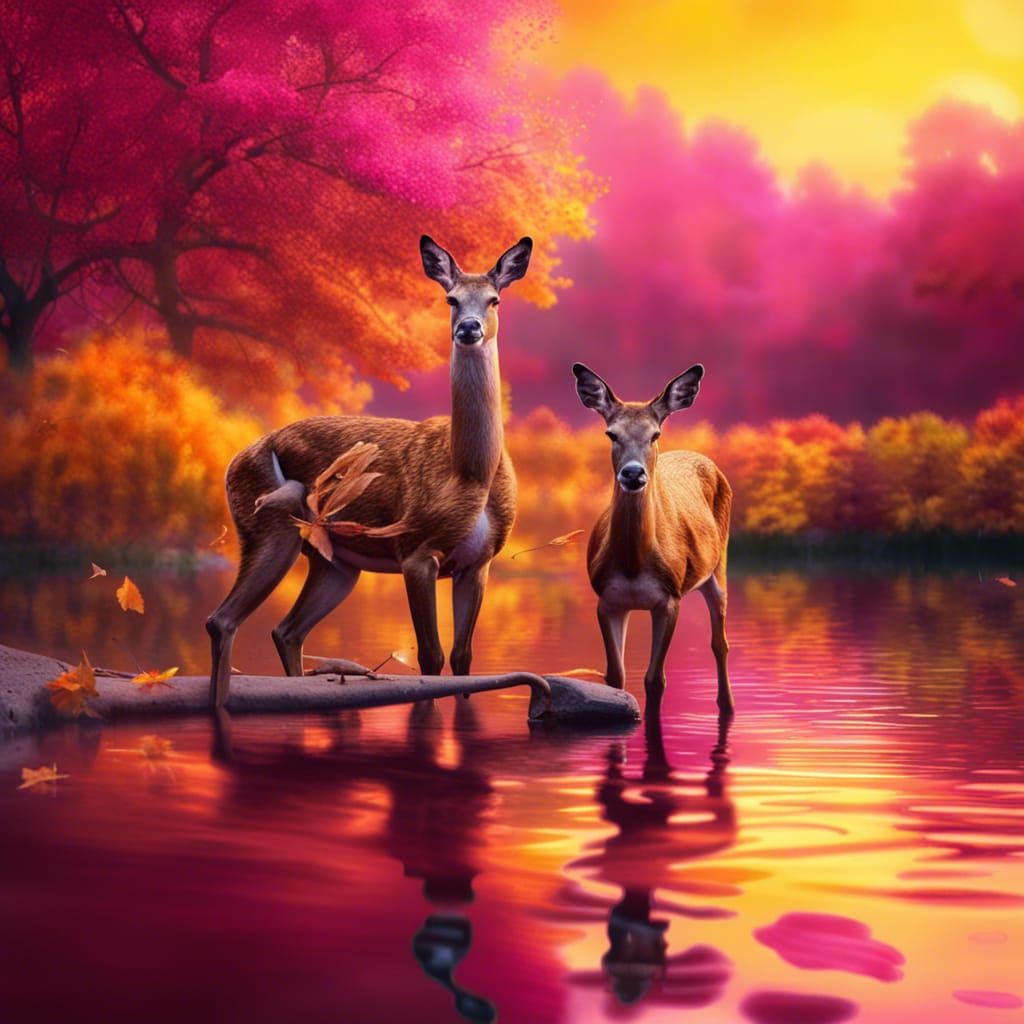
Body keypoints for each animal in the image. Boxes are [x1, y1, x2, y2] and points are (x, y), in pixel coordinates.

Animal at [205, 235, 533, 708]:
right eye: (450, 299)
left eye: (495, 299)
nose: (469, 328)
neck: (469, 472)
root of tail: (234, 461)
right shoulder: (416, 550)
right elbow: (431, 657)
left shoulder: (479, 561)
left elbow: (463, 657)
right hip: (267, 526)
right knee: (224, 619)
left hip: (337, 565)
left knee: (286, 630)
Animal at [572, 362, 734, 715]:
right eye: (611, 434)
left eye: (655, 434)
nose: (633, 473)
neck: (633, 564)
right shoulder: (608, 599)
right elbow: (615, 675)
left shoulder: (669, 598)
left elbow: (654, 679)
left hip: (718, 569)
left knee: (720, 642)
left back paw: (727, 706)